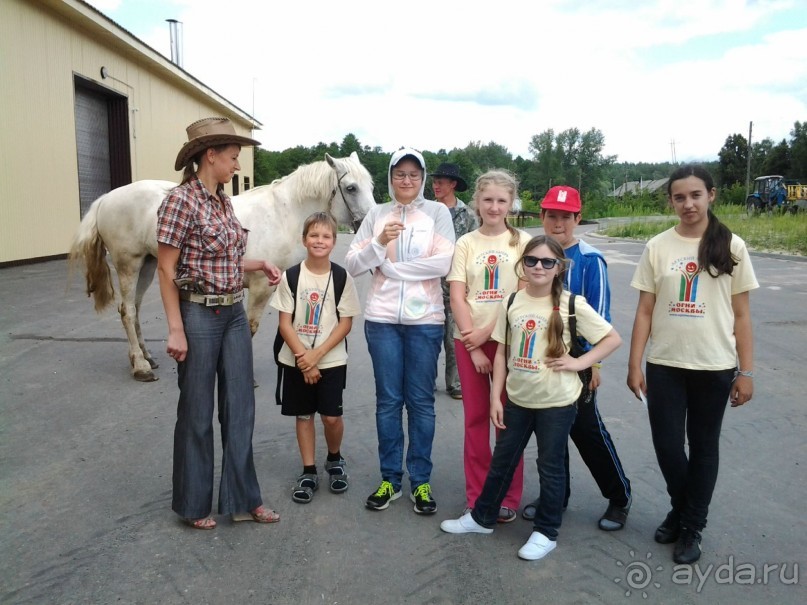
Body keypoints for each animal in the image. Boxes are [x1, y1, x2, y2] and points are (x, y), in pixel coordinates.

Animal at [69, 152, 376, 378]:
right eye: (351, 188)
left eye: (371, 186)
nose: (370, 225)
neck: (284, 214)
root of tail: (106, 198)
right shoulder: (261, 287)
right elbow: (250, 328)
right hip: (128, 265)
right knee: (127, 311)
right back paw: (141, 366)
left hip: (147, 265)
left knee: (134, 308)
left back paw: (145, 357)